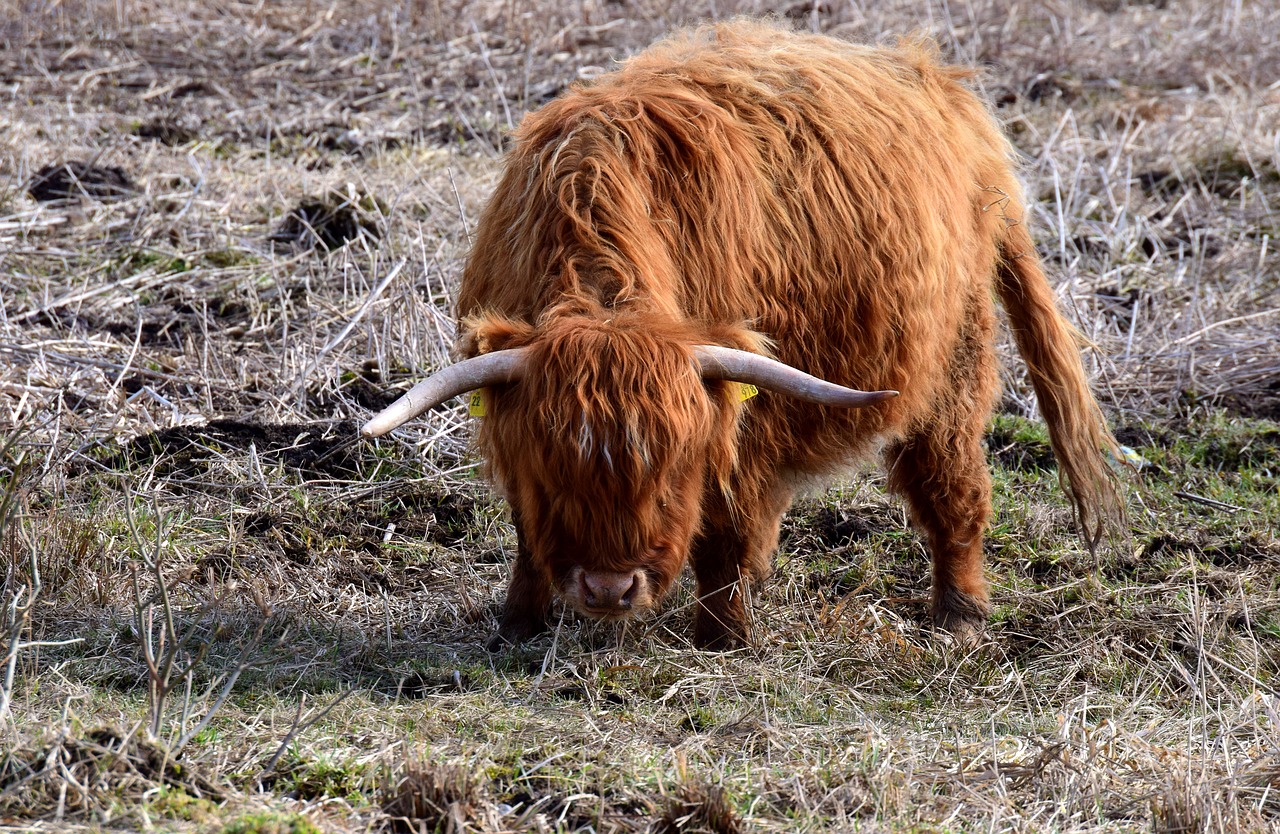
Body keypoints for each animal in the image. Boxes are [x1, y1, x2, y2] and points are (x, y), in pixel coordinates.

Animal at [360, 16, 1121, 647]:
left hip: (952, 362)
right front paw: (518, 623)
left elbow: (726, 528)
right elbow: (526, 527)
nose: (609, 588)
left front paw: (721, 637)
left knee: (952, 485)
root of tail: (943, 87)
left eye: (672, 476)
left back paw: (958, 615)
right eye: (558, 471)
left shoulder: (741, 415)